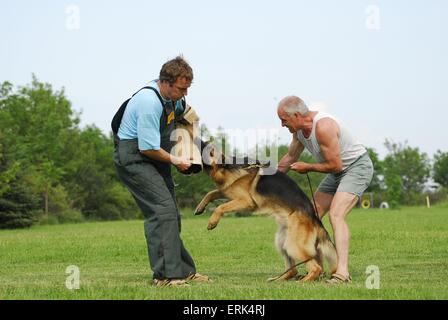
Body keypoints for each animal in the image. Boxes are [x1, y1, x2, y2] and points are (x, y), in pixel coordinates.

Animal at [194, 146, 338, 282]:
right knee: (293, 270)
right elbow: (212, 193)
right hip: (282, 241)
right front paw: (200, 207)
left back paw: (302, 281)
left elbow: (220, 206)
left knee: (316, 268)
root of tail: (315, 218)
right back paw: (277, 280)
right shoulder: (228, 192)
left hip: (293, 245)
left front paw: (212, 221)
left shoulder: (246, 201)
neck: (229, 168)